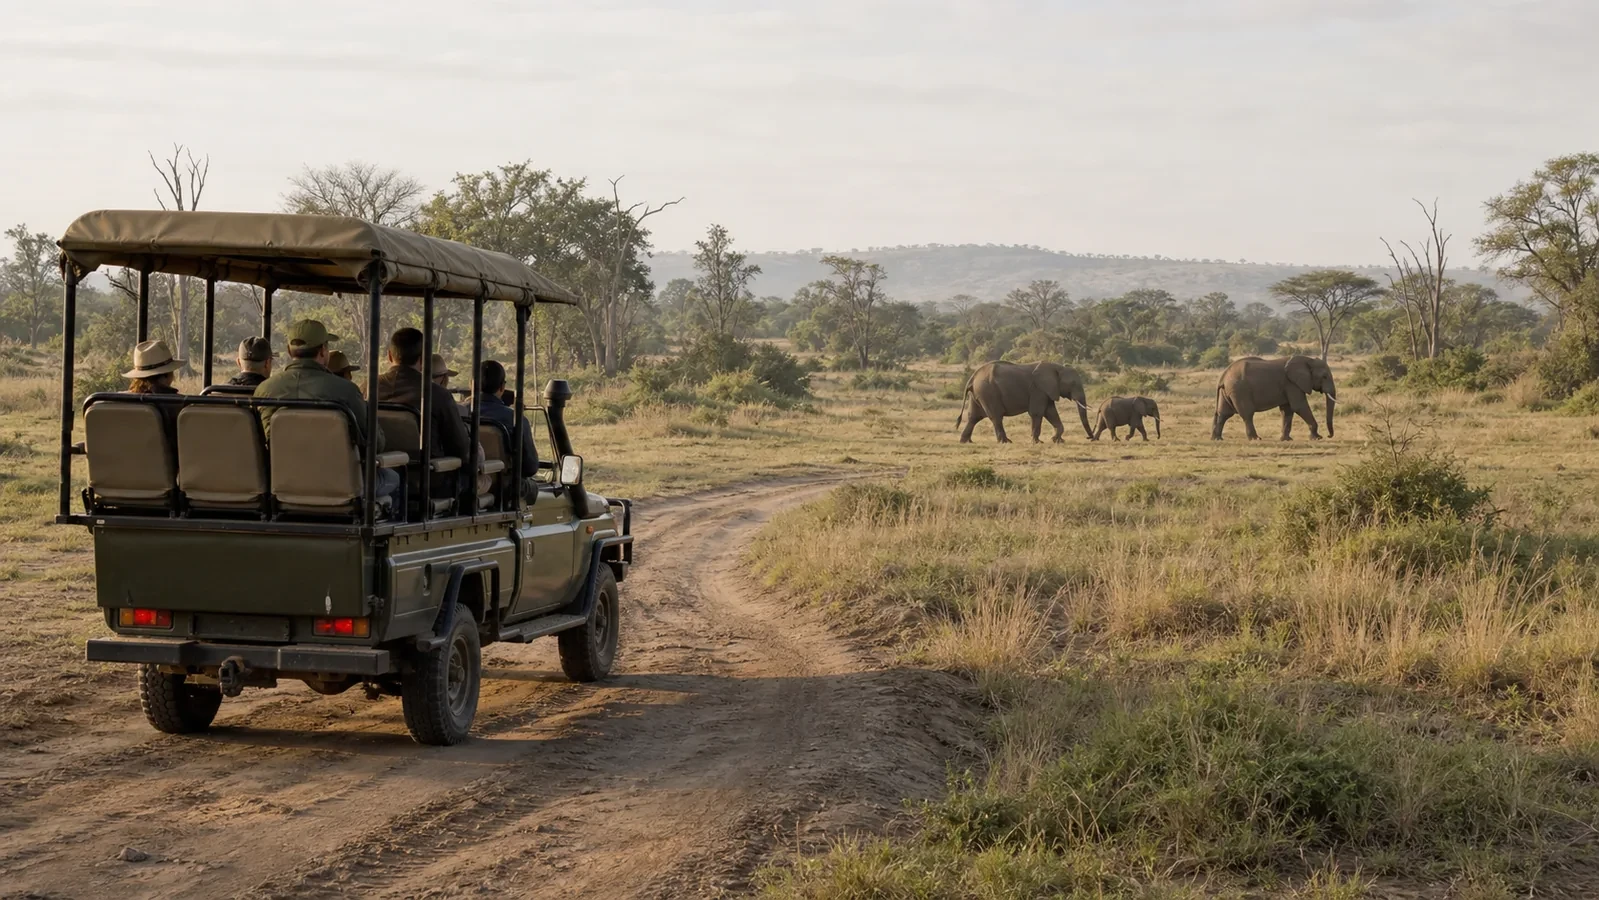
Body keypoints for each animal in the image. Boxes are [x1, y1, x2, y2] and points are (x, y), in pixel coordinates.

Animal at [956, 360, 1094, 443]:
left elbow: (1051, 412)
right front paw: (1038, 442)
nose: (1090, 438)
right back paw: (1005, 442)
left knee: (973, 417)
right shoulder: (1038, 390)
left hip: (978, 394)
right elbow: (1037, 413)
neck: (1058, 367)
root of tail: (973, 377)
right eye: (1073, 383)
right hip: (988, 392)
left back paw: (966, 441)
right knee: (996, 416)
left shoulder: (1046, 391)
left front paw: (1057, 440)